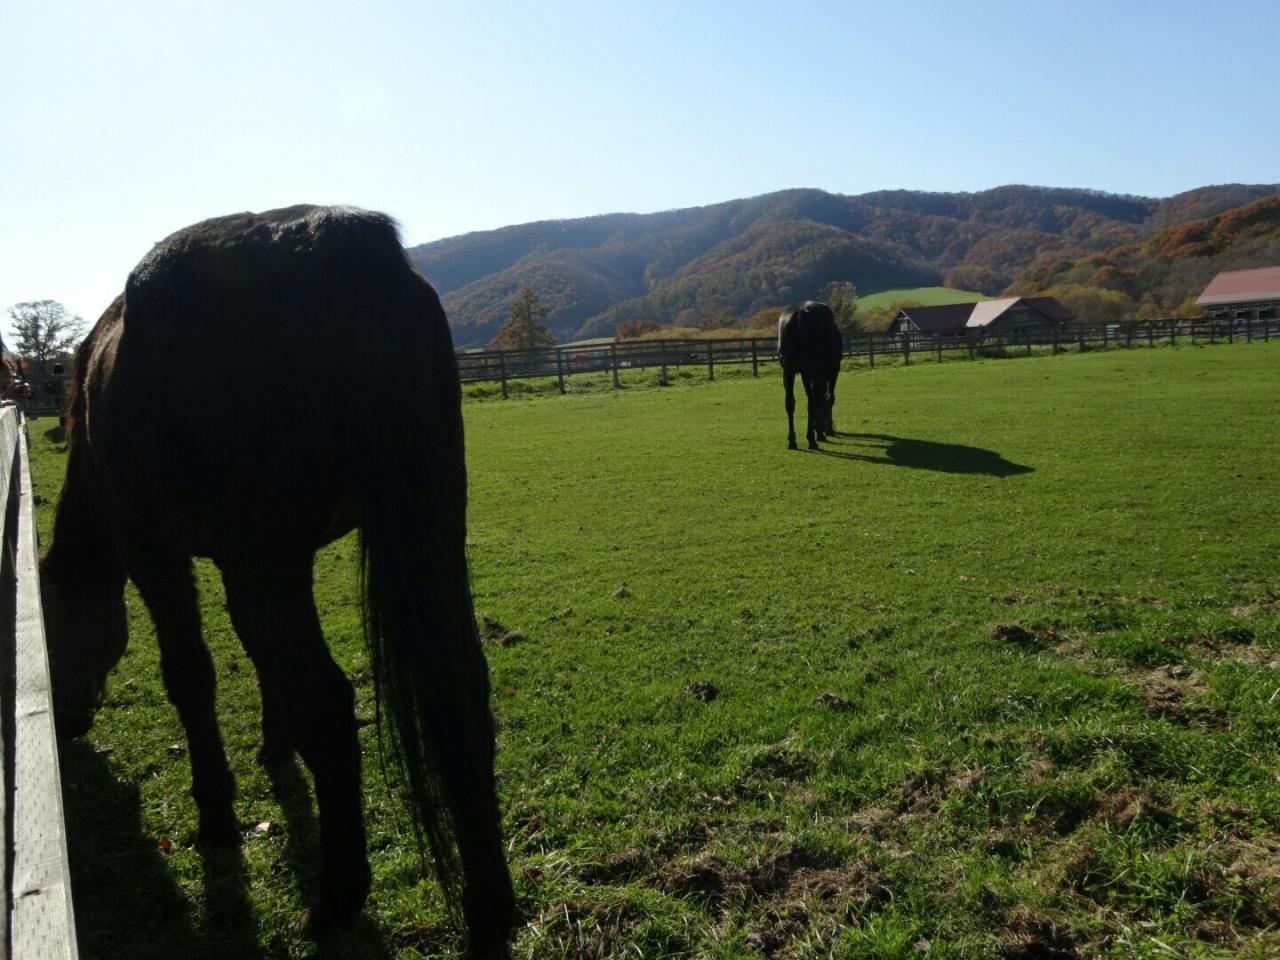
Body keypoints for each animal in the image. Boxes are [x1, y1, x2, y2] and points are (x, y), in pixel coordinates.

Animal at [39, 205, 516, 957]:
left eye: (53, 630)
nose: (68, 720)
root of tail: (342, 239)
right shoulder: (277, 560)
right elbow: (265, 669)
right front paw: (273, 745)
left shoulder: (157, 551)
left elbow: (191, 676)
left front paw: (215, 815)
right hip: (426, 522)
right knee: (460, 691)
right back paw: (490, 909)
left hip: (263, 562)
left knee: (329, 706)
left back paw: (338, 900)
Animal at [778, 301, 842, 449]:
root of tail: (799, 314)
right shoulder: (831, 372)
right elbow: (828, 398)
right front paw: (824, 429)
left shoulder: (805, 374)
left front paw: (819, 427)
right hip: (815, 370)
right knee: (812, 402)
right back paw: (812, 438)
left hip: (788, 371)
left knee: (790, 402)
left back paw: (792, 440)